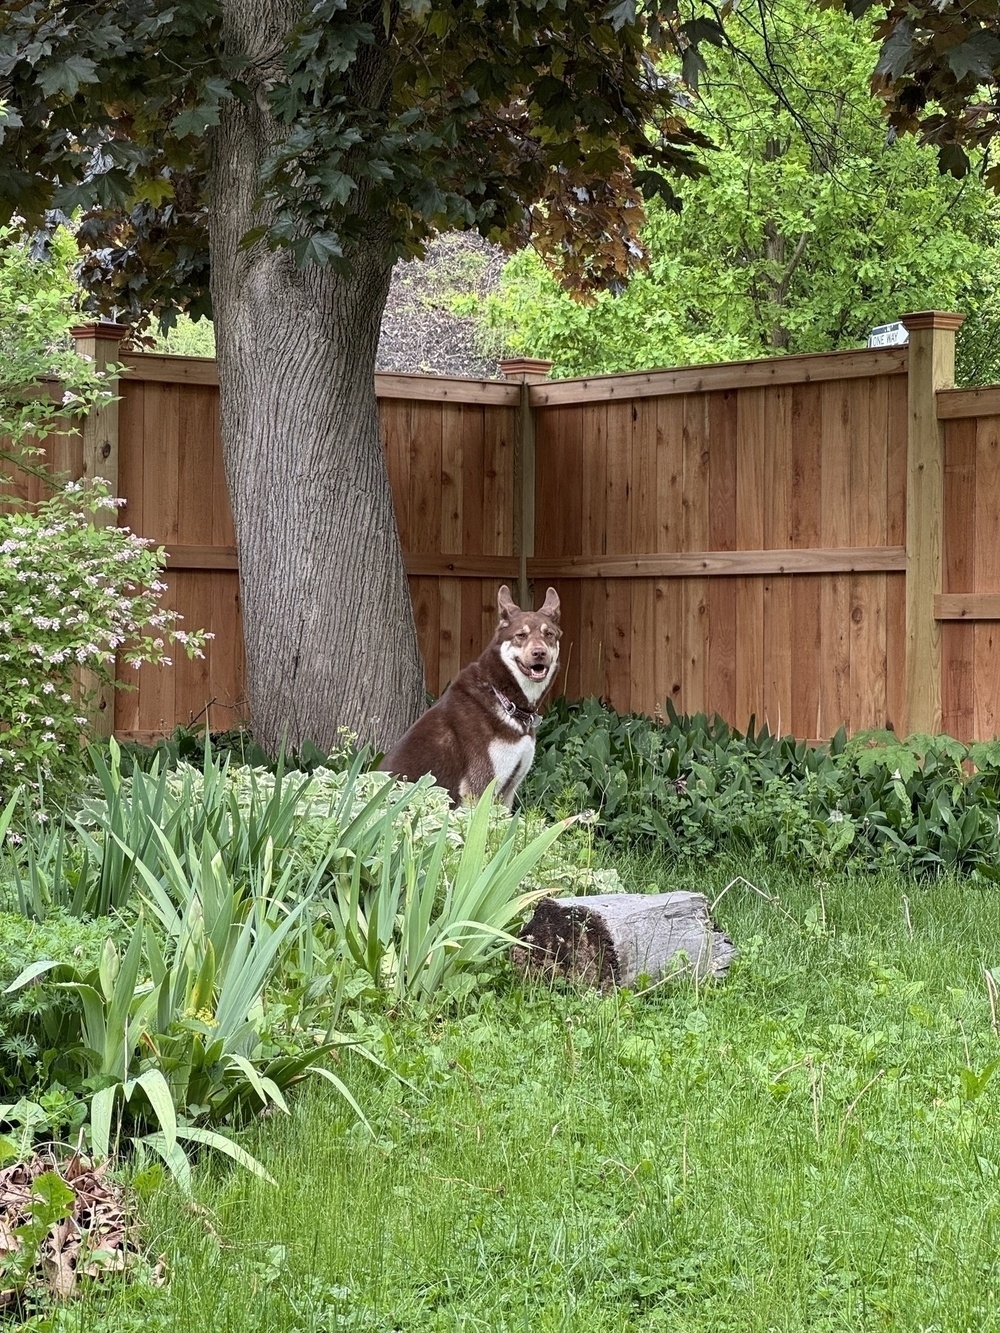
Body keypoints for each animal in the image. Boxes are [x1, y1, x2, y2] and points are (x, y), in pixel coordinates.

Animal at [378, 589, 565, 805]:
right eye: (521, 635)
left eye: (548, 634)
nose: (539, 653)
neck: (504, 698)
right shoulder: (479, 788)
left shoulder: (509, 789)